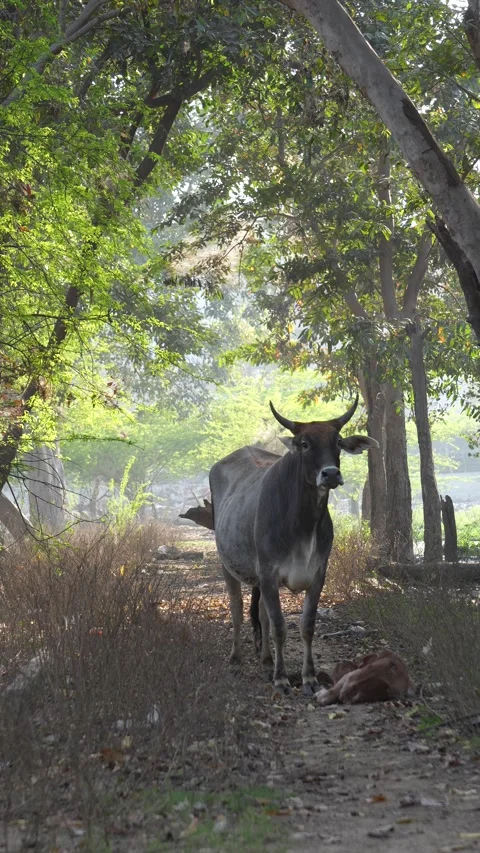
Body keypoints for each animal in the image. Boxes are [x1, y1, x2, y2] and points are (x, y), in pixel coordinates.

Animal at [209, 396, 378, 694]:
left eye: (338, 441)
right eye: (304, 443)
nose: (330, 474)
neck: (303, 524)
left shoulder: (318, 573)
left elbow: (305, 625)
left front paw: (308, 678)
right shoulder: (268, 572)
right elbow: (279, 627)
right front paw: (281, 679)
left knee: (260, 615)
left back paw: (265, 664)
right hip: (226, 565)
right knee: (237, 609)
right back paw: (236, 658)